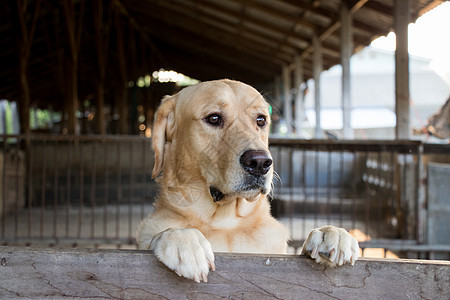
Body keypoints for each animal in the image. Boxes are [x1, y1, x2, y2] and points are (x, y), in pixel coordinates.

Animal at [135, 79, 360, 282]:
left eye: (261, 120)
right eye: (214, 118)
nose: (260, 162)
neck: (225, 223)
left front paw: (330, 234)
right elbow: (166, 234)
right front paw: (184, 239)